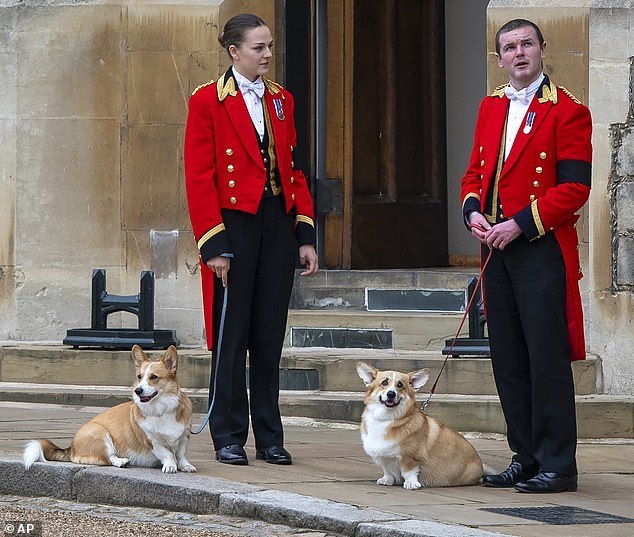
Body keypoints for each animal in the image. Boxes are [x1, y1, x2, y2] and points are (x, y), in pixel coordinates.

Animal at [23, 346, 195, 472]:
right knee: (109, 457)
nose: (137, 390)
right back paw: (121, 462)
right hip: (101, 434)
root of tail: (71, 448)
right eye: (139, 377)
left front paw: (185, 466)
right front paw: (170, 466)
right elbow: (167, 454)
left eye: (154, 377)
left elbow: (180, 454)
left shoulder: (184, 437)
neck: (161, 410)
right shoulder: (152, 441)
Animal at [356, 362, 484, 488]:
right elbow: (388, 471)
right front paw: (387, 480)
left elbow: (408, 471)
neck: (386, 418)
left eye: (400, 385)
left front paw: (411, 483)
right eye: (384, 382)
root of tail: (481, 466)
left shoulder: (410, 457)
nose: (391, 394)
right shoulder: (384, 458)